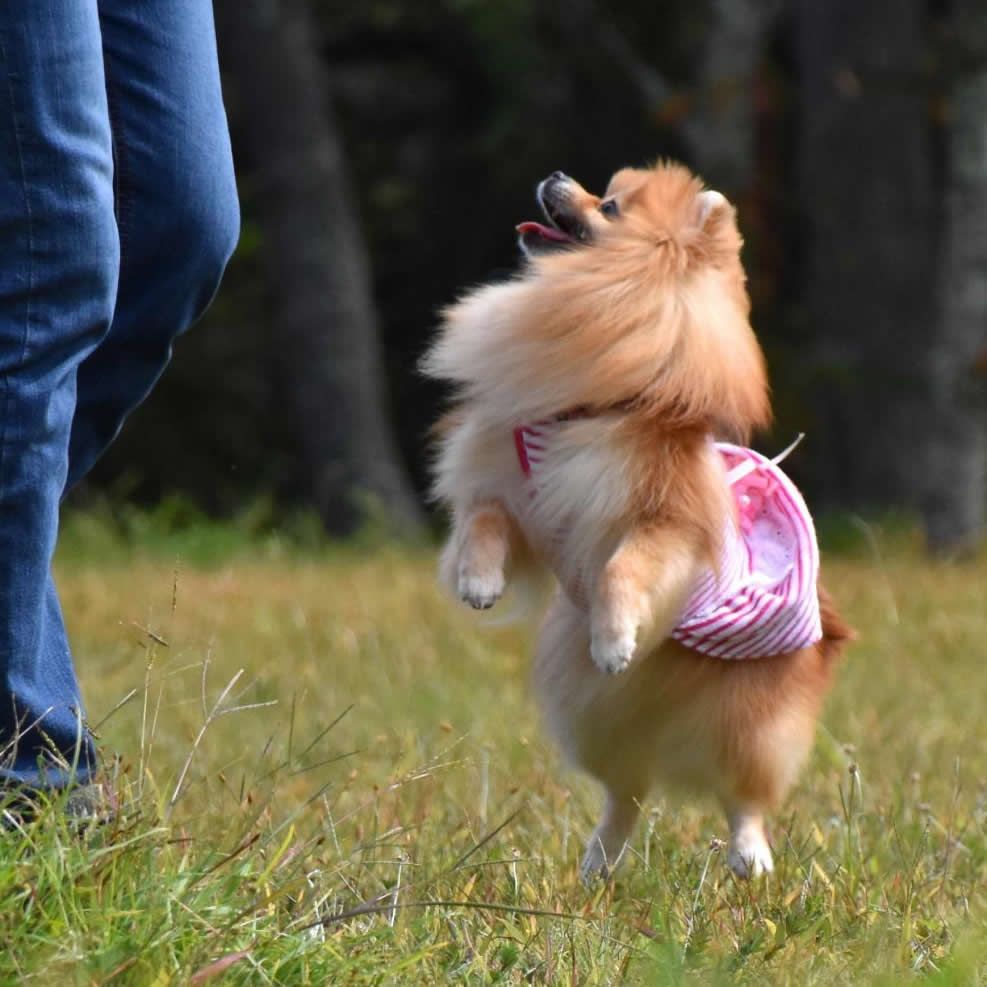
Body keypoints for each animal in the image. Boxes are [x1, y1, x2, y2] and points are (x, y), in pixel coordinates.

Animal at [422, 162, 848, 880]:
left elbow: (622, 567)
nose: (555, 174)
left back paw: (750, 855)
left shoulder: (663, 522)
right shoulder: (521, 498)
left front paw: (616, 638)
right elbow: (484, 519)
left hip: (750, 718)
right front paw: (478, 582)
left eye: (610, 206)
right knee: (627, 791)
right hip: (598, 718)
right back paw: (600, 860)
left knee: (744, 793)